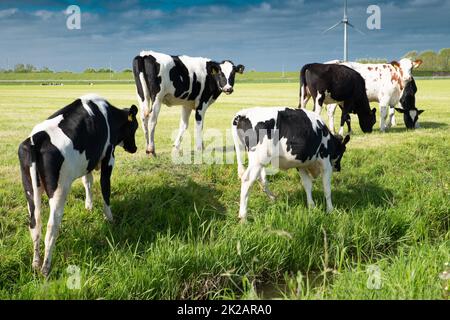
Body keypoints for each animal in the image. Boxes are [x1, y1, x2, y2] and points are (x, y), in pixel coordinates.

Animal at [18, 94, 139, 276]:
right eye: (135, 127)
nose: (135, 148)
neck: (108, 114)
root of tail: (36, 139)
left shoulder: (88, 161)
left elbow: (87, 182)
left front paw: (89, 207)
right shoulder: (108, 157)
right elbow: (105, 187)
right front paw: (109, 218)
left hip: (30, 189)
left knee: (34, 224)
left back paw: (35, 263)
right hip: (60, 190)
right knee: (51, 226)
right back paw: (46, 268)